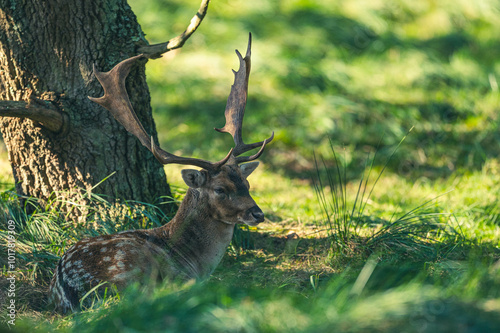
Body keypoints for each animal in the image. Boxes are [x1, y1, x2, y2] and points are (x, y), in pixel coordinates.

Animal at [48, 35, 274, 312]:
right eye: (220, 189)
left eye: (247, 184)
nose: (258, 213)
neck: (192, 259)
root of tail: (72, 288)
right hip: (133, 271)